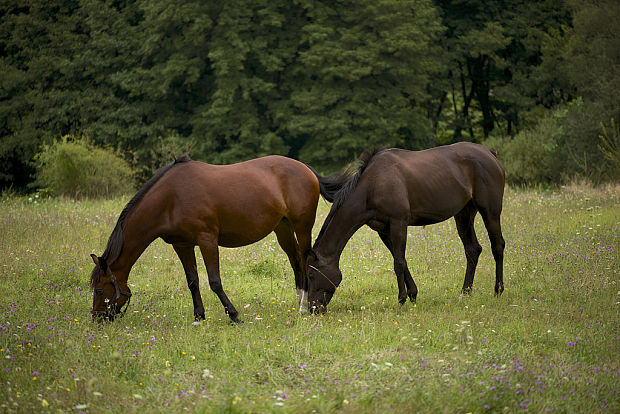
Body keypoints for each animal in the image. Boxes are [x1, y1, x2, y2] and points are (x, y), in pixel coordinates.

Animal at [89, 155, 342, 324]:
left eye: (99, 290)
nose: (97, 319)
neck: (170, 199)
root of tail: (306, 169)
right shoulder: (182, 245)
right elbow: (193, 281)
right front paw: (199, 317)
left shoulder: (207, 240)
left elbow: (214, 281)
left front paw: (234, 315)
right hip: (283, 229)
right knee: (296, 261)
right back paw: (299, 301)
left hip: (302, 227)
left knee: (305, 260)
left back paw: (304, 307)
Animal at [304, 143, 504, 314]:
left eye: (311, 275)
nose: (313, 309)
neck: (373, 185)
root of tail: (489, 153)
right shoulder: (383, 230)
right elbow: (400, 259)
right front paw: (413, 294)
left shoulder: (398, 223)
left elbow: (398, 263)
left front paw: (401, 299)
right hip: (464, 214)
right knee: (472, 249)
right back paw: (465, 293)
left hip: (490, 211)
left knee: (498, 246)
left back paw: (498, 290)